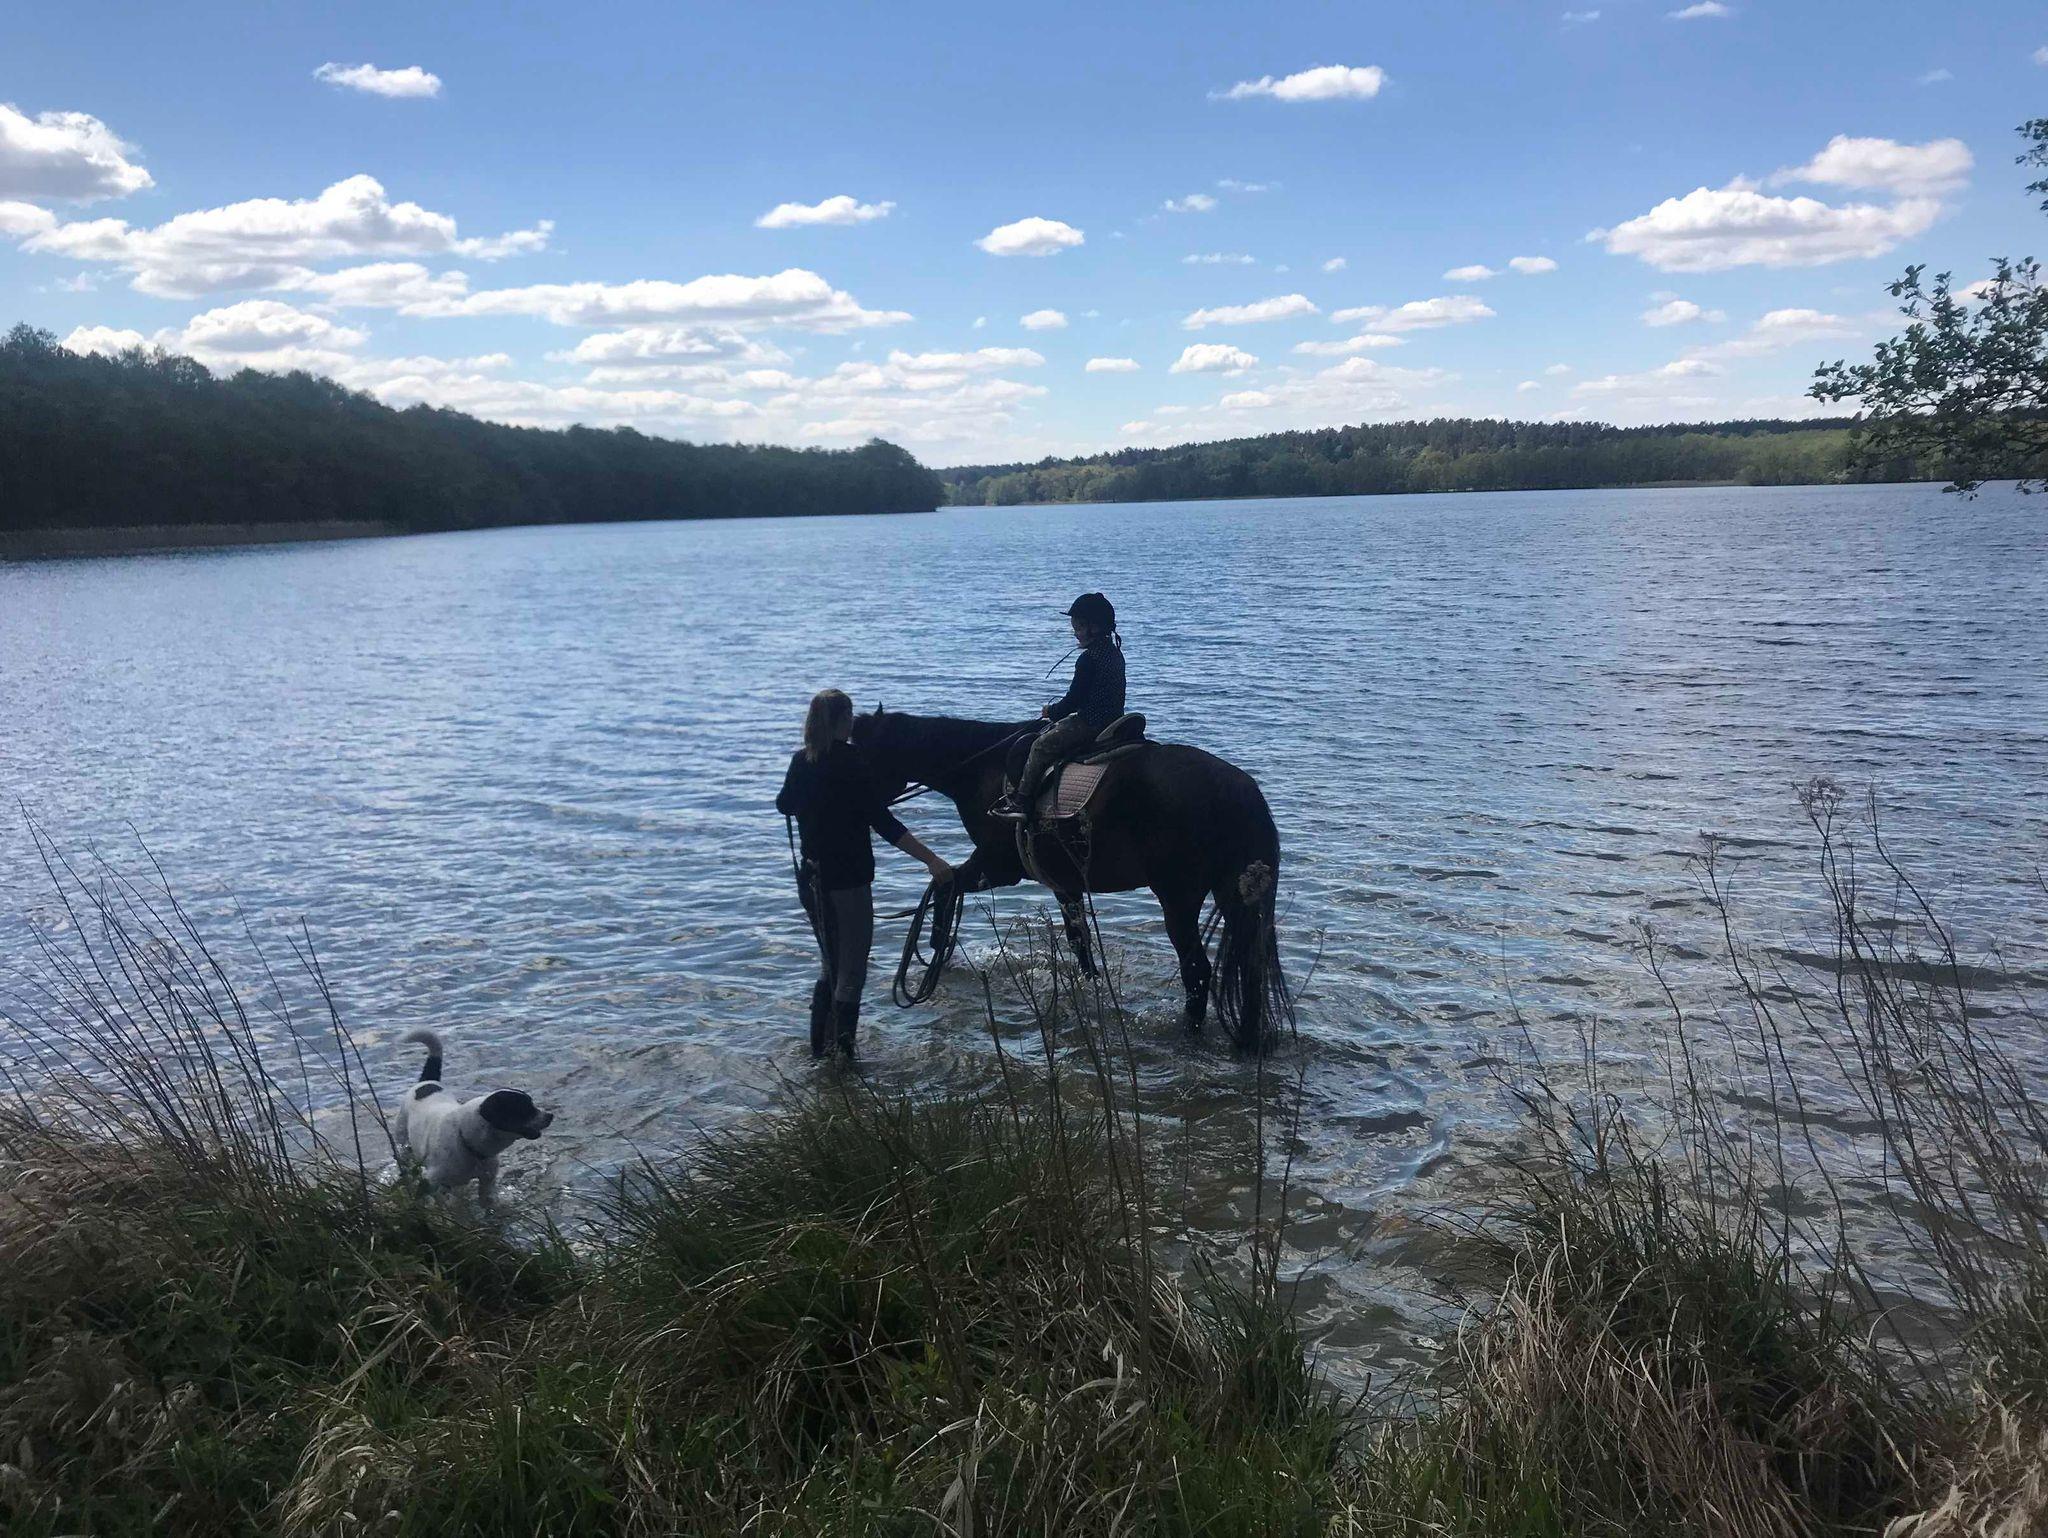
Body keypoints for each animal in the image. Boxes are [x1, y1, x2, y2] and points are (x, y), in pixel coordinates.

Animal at [393, 1029, 554, 1202]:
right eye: (524, 1108)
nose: (550, 1116)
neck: (465, 1138)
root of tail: (427, 1081)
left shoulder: (487, 1182)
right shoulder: (430, 1181)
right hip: (402, 1139)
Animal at [850, 709, 1292, 1051]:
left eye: (862, 756)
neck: (980, 769)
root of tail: (1238, 789)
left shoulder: (997, 867)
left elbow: (946, 886)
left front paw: (934, 945)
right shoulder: (1064, 884)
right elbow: (1080, 946)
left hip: (1178, 899)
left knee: (1197, 972)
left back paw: (1191, 1036)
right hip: (1233, 896)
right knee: (1248, 968)